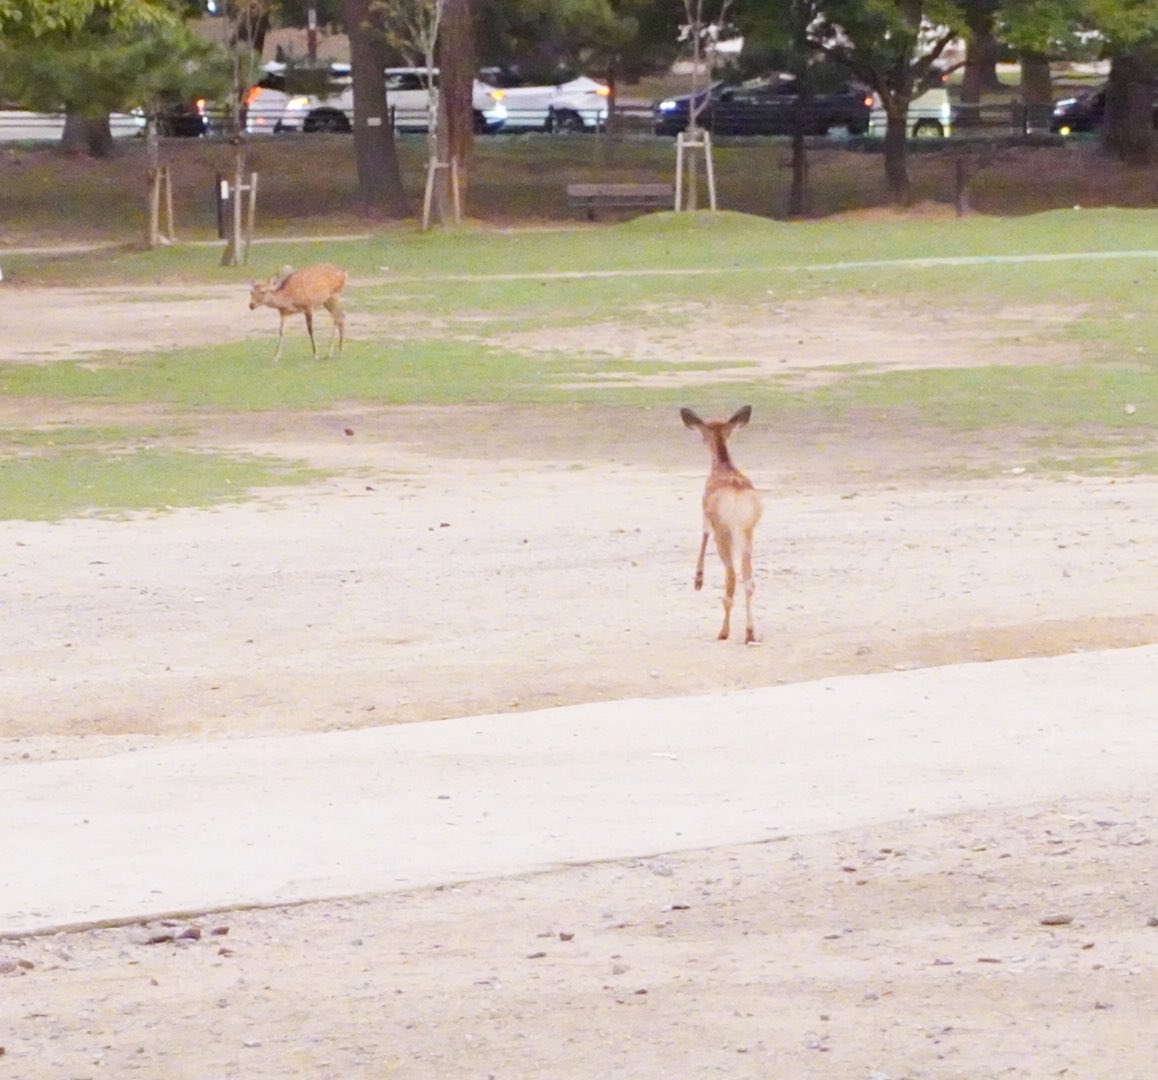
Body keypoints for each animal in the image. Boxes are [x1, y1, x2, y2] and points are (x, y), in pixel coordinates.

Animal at [680, 405, 763, 644]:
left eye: (702, 435)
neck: (723, 466)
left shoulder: (706, 511)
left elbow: (703, 533)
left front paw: (698, 580)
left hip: (725, 532)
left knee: (732, 577)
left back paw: (724, 632)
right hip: (747, 531)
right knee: (749, 580)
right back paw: (750, 632)